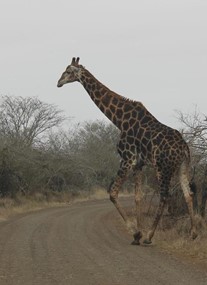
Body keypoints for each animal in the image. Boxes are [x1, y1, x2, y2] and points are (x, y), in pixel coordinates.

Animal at [56, 57, 197, 244]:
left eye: (68, 71)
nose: (58, 82)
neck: (119, 120)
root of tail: (184, 149)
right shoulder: (139, 164)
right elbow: (138, 197)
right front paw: (137, 234)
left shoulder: (127, 158)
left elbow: (113, 193)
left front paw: (137, 233)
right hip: (183, 166)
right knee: (188, 194)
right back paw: (193, 233)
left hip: (163, 167)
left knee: (165, 195)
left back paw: (150, 236)